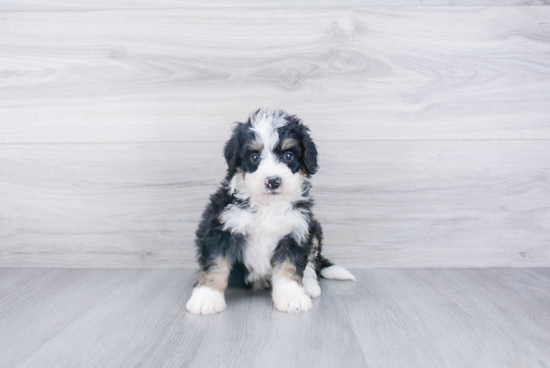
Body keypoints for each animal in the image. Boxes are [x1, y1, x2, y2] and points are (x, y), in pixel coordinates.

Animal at [188, 108, 356, 314]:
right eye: (255, 157)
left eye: (288, 156)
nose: (273, 181)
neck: (268, 205)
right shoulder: (221, 229)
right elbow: (215, 264)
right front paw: (207, 297)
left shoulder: (295, 231)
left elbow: (289, 267)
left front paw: (292, 297)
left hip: (314, 228)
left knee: (311, 263)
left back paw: (309, 286)